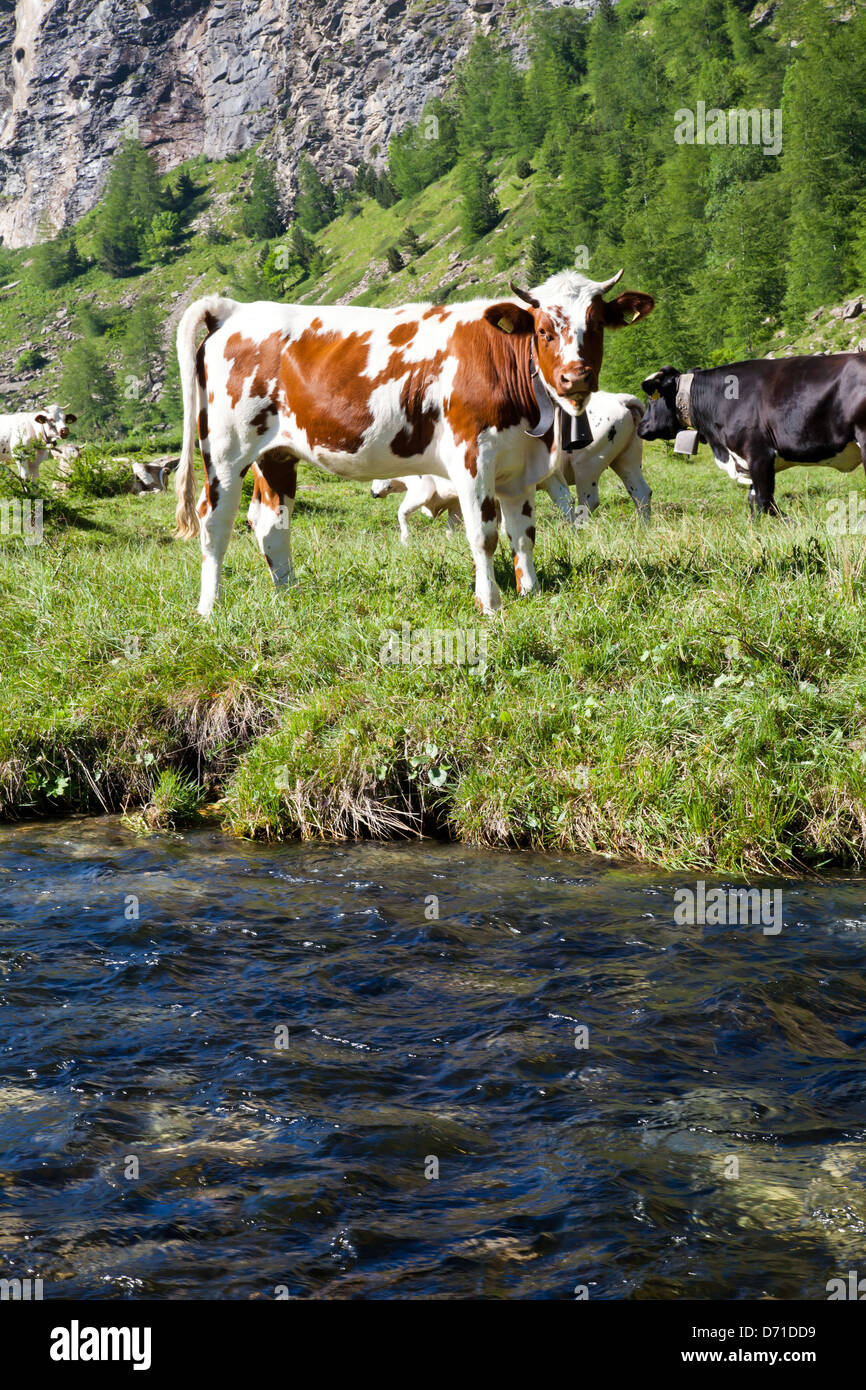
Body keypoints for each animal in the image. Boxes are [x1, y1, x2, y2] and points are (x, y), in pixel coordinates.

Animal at [174, 270, 655, 616]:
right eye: (542, 330)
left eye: (597, 325)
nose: (575, 378)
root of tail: (234, 310)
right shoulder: (471, 458)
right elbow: (484, 534)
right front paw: (490, 603)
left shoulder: (519, 467)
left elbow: (523, 534)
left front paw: (530, 591)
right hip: (225, 452)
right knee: (215, 523)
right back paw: (210, 607)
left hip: (275, 455)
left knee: (270, 522)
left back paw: (289, 595)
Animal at [637, 357, 866, 515]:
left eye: (652, 399)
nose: (641, 426)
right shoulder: (746, 462)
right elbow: (753, 500)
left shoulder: (759, 454)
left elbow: (765, 502)